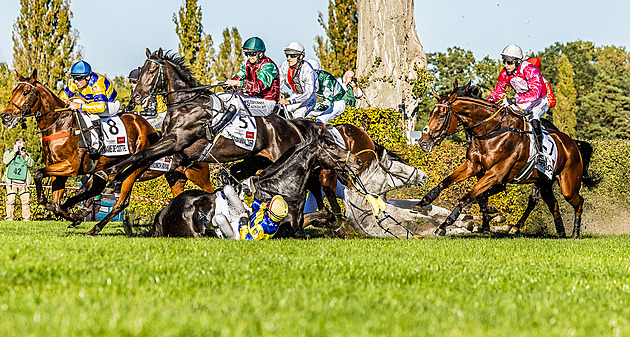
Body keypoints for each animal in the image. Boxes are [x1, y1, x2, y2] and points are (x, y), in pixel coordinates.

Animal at [0, 70, 215, 228]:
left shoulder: (70, 166)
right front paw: (74, 215)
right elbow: (56, 204)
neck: (60, 125)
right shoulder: (60, 172)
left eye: (26, 92)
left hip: (187, 174)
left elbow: (38, 175)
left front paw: (54, 206)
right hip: (174, 177)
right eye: (13, 91)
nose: (5, 116)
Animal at [149, 130, 362, 238]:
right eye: (332, 146)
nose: (357, 161)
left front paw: (336, 226)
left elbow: (324, 214)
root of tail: (163, 213)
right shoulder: (282, 228)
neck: (280, 188)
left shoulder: (297, 221)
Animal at [418, 82, 600, 238]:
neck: (490, 131)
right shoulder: (473, 166)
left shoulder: (495, 174)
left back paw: (575, 233)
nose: (423, 142)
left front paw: (445, 225)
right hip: (545, 183)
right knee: (553, 204)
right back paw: (560, 232)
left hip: (568, 185)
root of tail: (572, 143)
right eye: (431, 114)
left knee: (578, 201)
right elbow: (447, 183)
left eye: (441, 116)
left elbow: (469, 196)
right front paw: (425, 200)